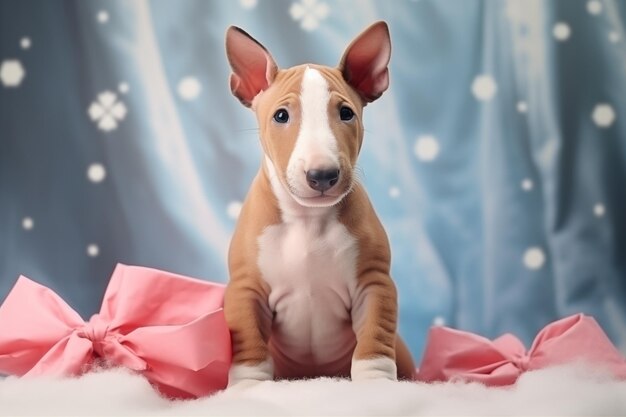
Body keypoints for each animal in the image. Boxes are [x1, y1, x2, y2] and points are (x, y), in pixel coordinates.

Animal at [224, 19, 414, 384]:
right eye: (281, 116)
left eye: (346, 113)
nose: (323, 175)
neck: (307, 219)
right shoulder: (246, 289)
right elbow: (250, 344)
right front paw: (248, 386)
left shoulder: (374, 282)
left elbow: (374, 339)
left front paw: (377, 383)